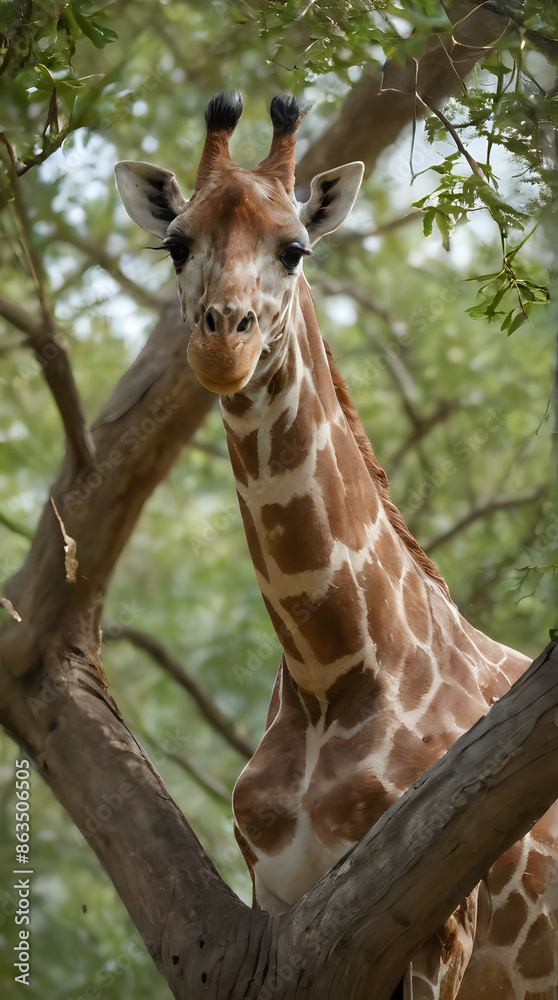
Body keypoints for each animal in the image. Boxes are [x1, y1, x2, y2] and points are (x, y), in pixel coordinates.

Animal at [115, 92, 558, 999]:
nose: (223, 340)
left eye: (295, 248)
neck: (330, 678)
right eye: (177, 243)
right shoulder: (281, 920)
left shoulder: (442, 928)